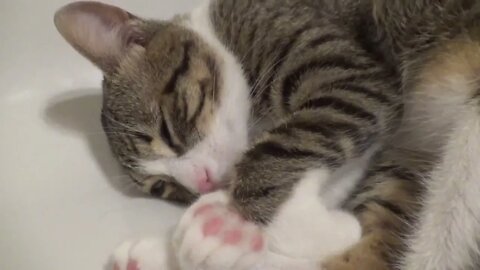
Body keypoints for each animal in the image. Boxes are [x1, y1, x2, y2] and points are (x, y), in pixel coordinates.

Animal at [53, 0, 480, 270]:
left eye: (169, 129)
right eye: (163, 188)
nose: (202, 184)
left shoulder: (356, 78)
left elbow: (276, 152)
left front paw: (229, 219)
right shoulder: (371, 137)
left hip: (468, 139)